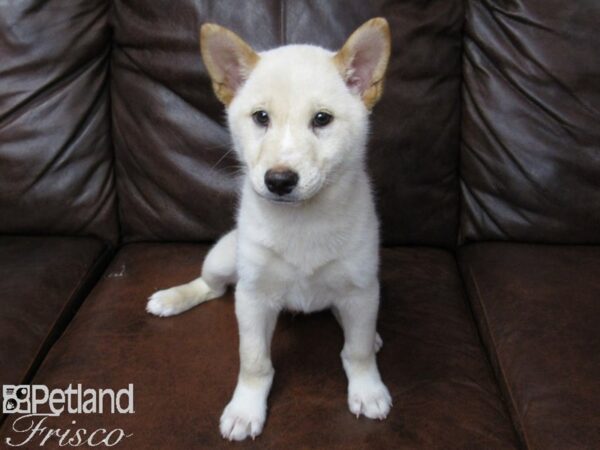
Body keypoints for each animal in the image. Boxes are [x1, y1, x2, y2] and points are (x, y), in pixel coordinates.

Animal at [147, 19, 392, 442]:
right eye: (261, 117)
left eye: (322, 119)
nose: (279, 180)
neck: (303, 221)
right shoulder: (253, 297)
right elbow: (254, 361)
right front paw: (246, 409)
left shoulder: (361, 288)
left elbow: (357, 351)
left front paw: (368, 389)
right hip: (222, 259)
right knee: (210, 287)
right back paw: (173, 298)